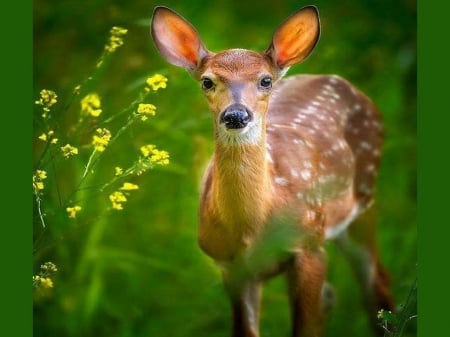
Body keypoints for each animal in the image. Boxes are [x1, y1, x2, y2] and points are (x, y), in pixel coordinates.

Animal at [150, 5, 394, 336]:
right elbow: (246, 330)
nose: (236, 115)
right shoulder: (231, 265)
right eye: (207, 81)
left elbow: (305, 327)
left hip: (364, 199)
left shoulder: (309, 245)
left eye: (265, 80)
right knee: (332, 294)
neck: (254, 226)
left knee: (377, 283)